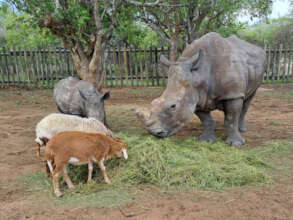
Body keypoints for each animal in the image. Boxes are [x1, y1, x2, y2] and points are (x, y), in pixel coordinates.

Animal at [136, 32, 266, 146]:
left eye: (173, 106)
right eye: (153, 102)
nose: (153, 133)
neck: (198, 75)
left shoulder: (233, 94)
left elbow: (231, 118)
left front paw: (236, 144)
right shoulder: (195, 95)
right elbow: (206, 120)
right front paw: (206, 141)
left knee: (248, 99)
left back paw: (242, 129)